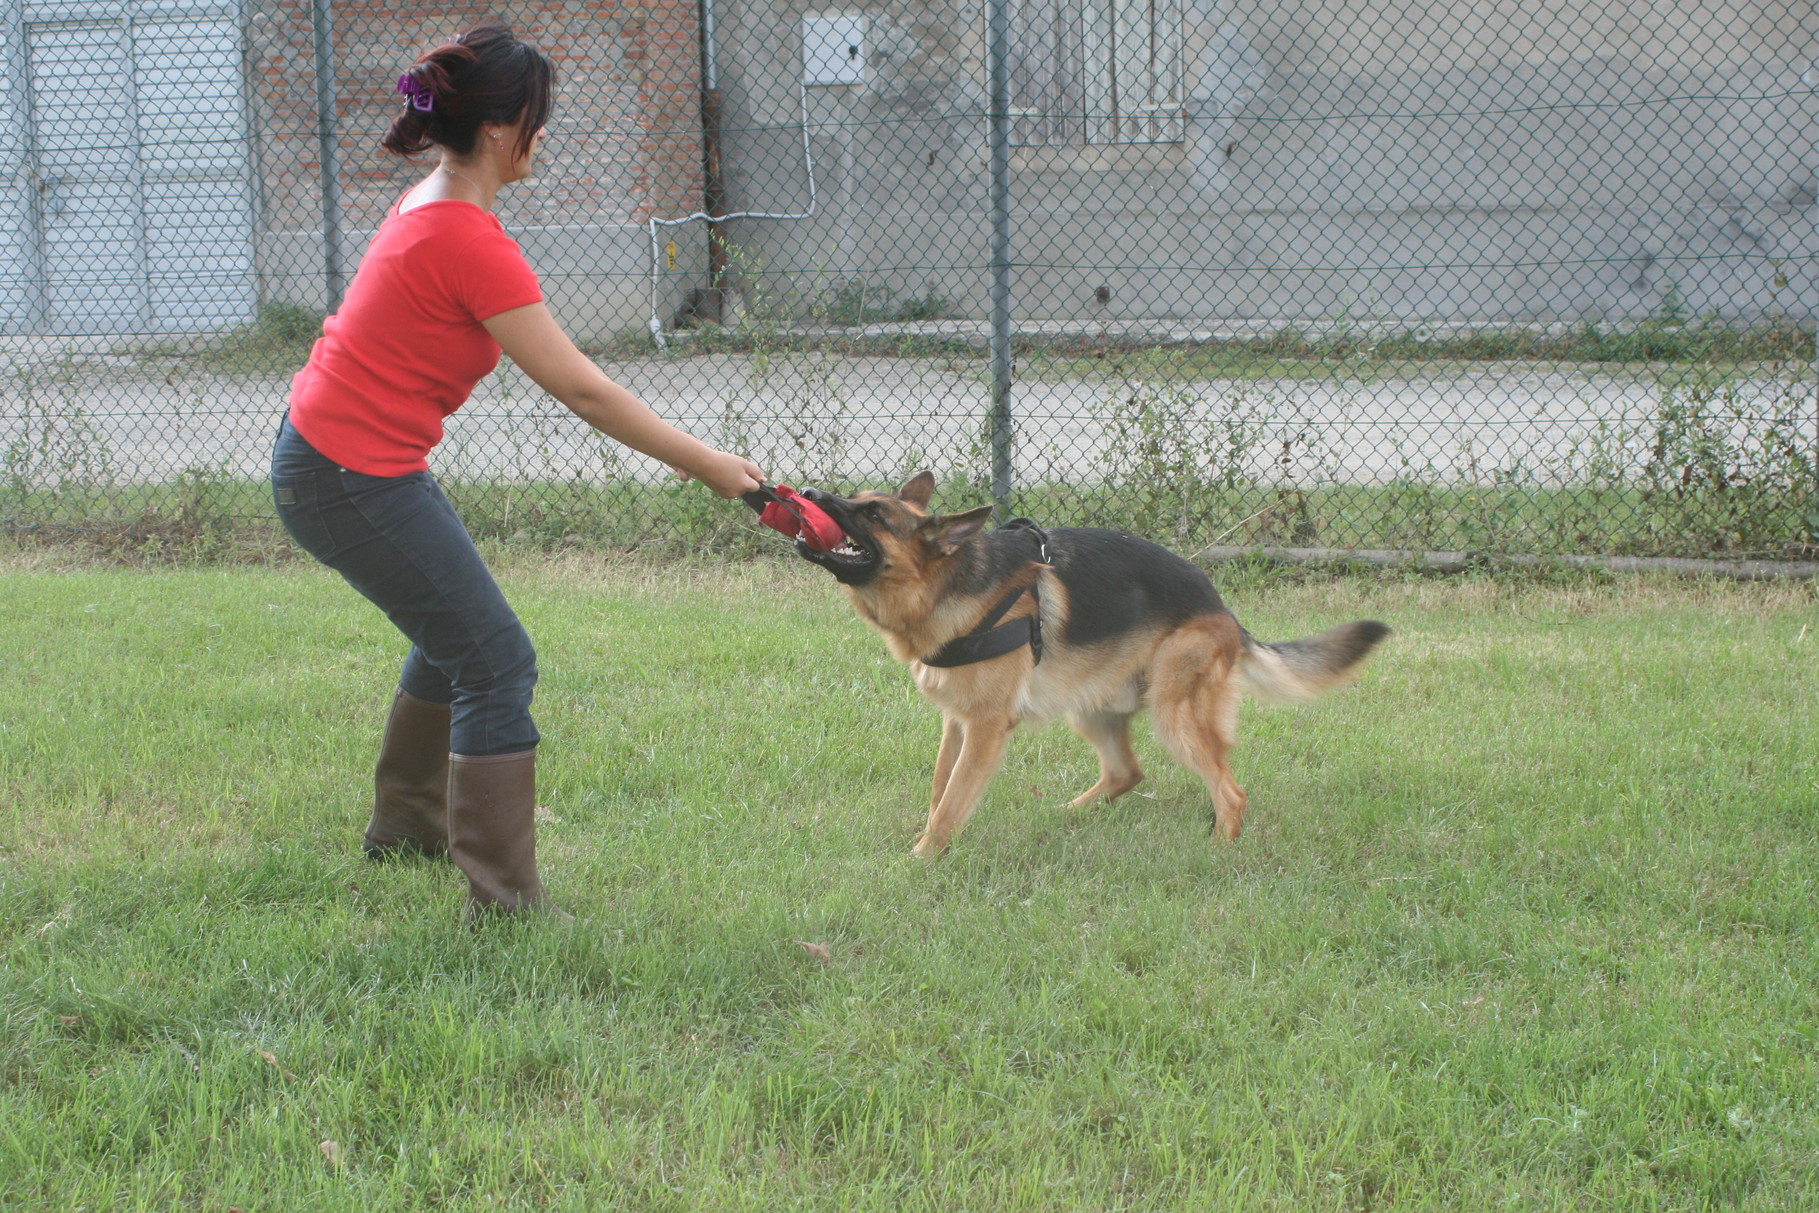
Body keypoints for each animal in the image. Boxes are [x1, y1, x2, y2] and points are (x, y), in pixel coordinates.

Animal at [796, 469, 1389, 858]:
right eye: (854, 499)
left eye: (873, 514)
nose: (806, 493)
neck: (942, 586)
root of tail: (1222, 609)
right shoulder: (956, 723)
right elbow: (940, 790)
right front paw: (928, 845)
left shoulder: (985, 728)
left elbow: (951, 802)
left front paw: (921, 860)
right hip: (1089, 709)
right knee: (1127, 772)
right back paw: (1068, 815)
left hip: (1174, 715)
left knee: (1230, 792)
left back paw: (1220, 850)